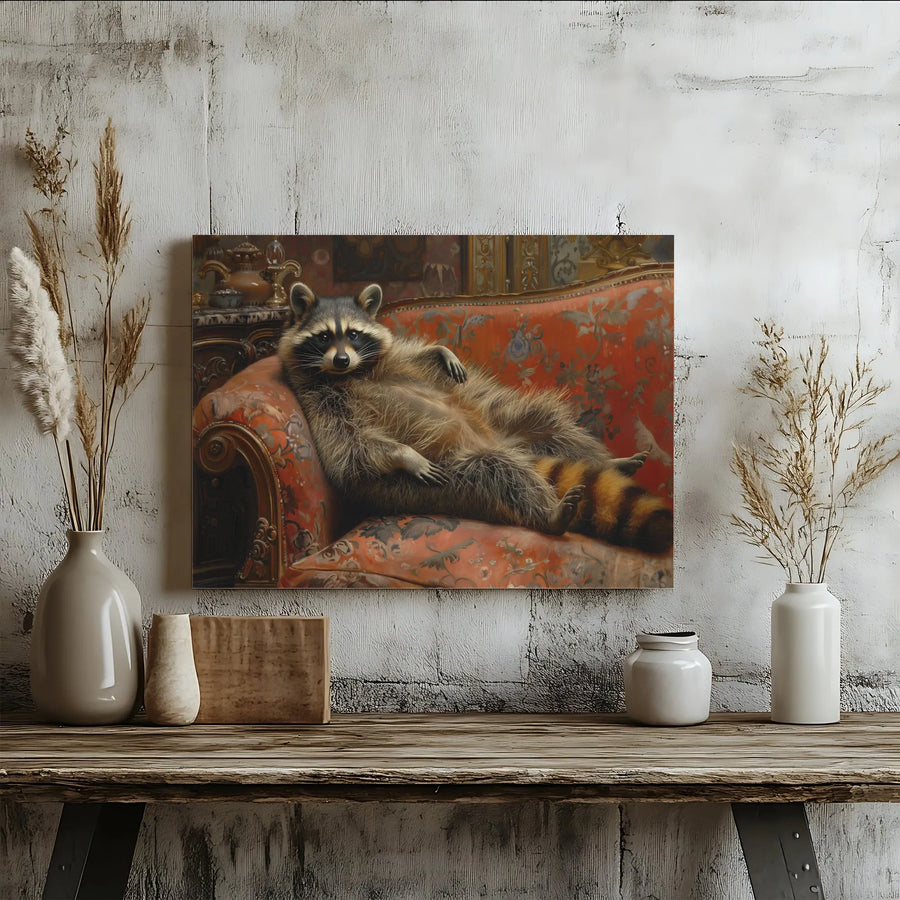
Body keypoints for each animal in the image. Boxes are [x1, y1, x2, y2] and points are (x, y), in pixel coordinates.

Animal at [277, 282, 673, 553]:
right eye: (324, 336)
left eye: (354, 335)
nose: (342, 359)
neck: (350, 374)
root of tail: (514, 450)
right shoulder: (322, 404)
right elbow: (353, 446)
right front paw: (405, 455)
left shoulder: (390, 360)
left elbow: (417, 355)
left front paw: (439, 350)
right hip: (442, 480)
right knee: (496, 473)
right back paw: (550, 515)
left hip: (505, 420)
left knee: (551, 424)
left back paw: (609, 462)